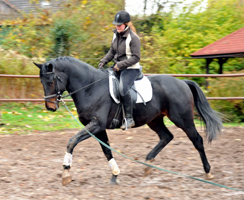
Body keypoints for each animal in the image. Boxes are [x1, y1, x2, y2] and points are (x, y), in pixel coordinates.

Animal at [34, 55, 223, 186]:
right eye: (42, 82)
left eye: (51, 81)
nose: (50, 107)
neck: (90, 87)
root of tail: (182, 82)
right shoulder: (98, 128)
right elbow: (106, 150)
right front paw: (115, 174)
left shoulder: (96, 125)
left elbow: (72, 141)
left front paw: (66, 173)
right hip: (154, 120)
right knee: (166, 137)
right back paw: (148, 164)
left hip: (182, 119)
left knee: (197, 140)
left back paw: (208, 172)